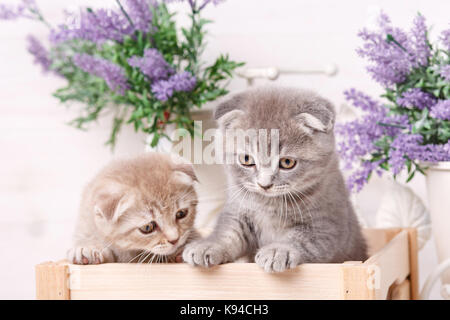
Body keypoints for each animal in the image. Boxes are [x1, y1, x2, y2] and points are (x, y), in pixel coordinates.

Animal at [182, 86, 366, 272]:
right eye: (246, 159)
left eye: (287, 162)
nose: (264, 184)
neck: (269, 203)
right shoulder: (238, 210)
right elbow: (227, 233)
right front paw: (207, 245)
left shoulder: (326, 227)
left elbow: (300, 239)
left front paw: (278, 251)